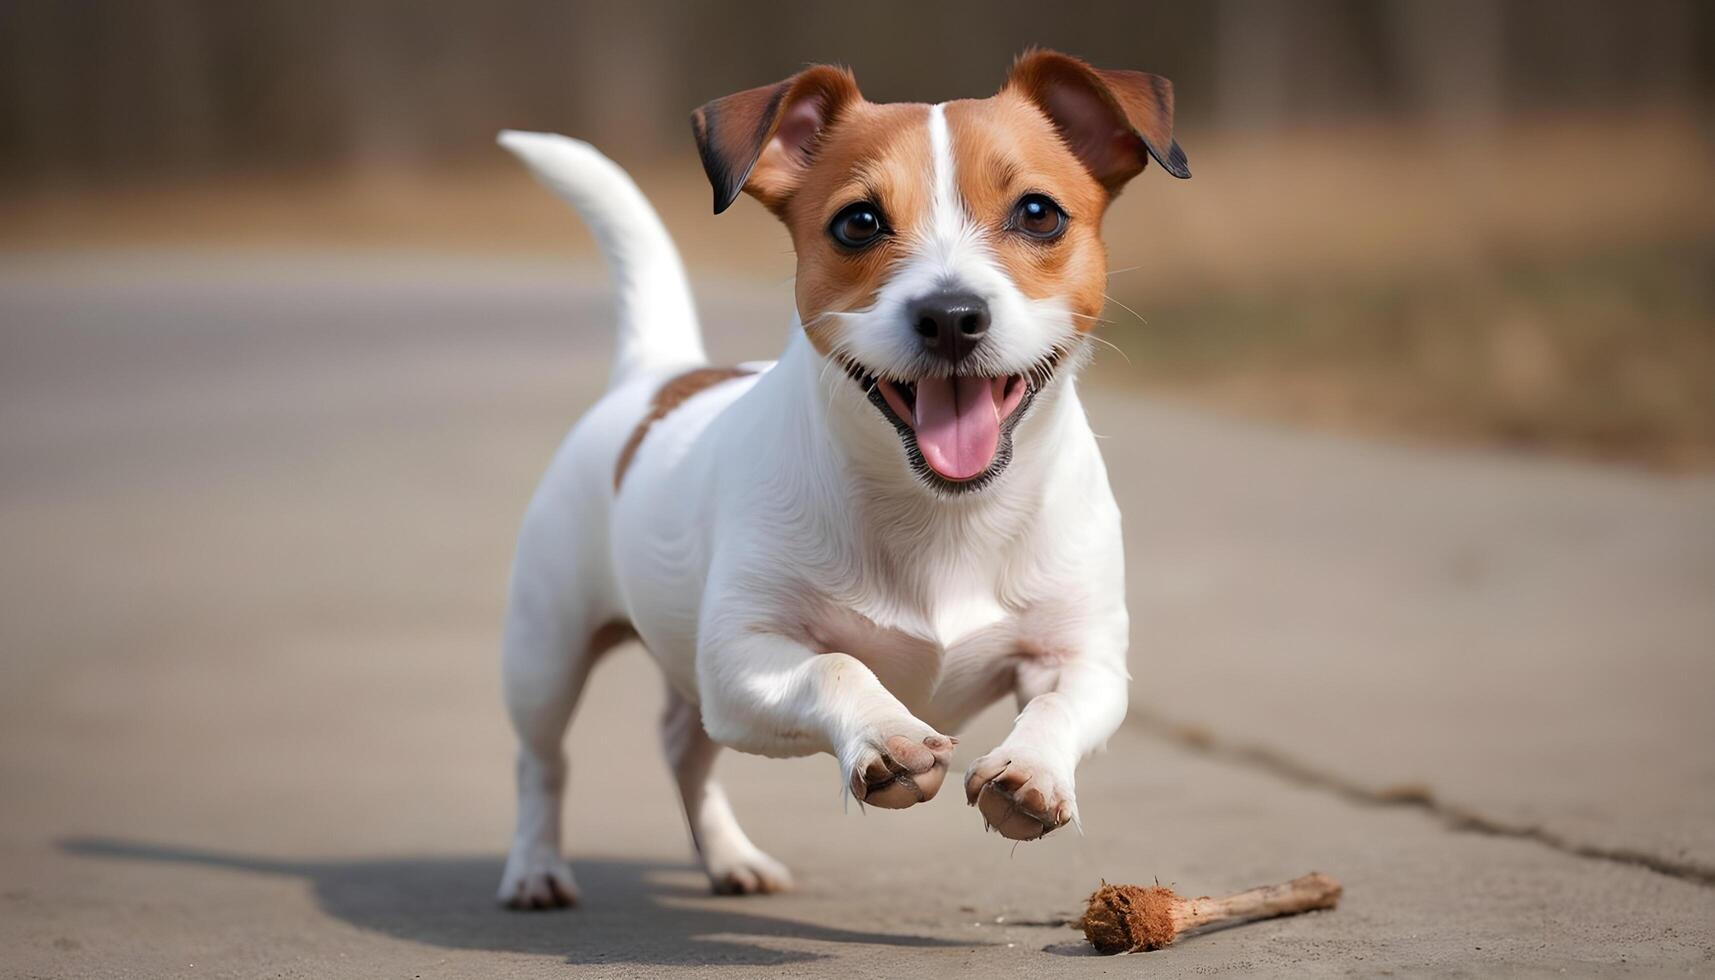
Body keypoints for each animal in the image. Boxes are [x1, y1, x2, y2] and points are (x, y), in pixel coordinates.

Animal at [490, 49, 1186, 906]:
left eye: (1038, 213)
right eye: (858, 222)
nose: (950, 315)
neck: (940, 512)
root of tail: (659, 374)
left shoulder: (1082, 659)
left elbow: (1058, 706)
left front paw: (1031, 769)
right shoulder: (741, 661)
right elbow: (836, 665)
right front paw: (884, 732)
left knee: (683, 748)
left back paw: (729, 857)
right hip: (545, 653)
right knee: (542, 761)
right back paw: (535, 867)